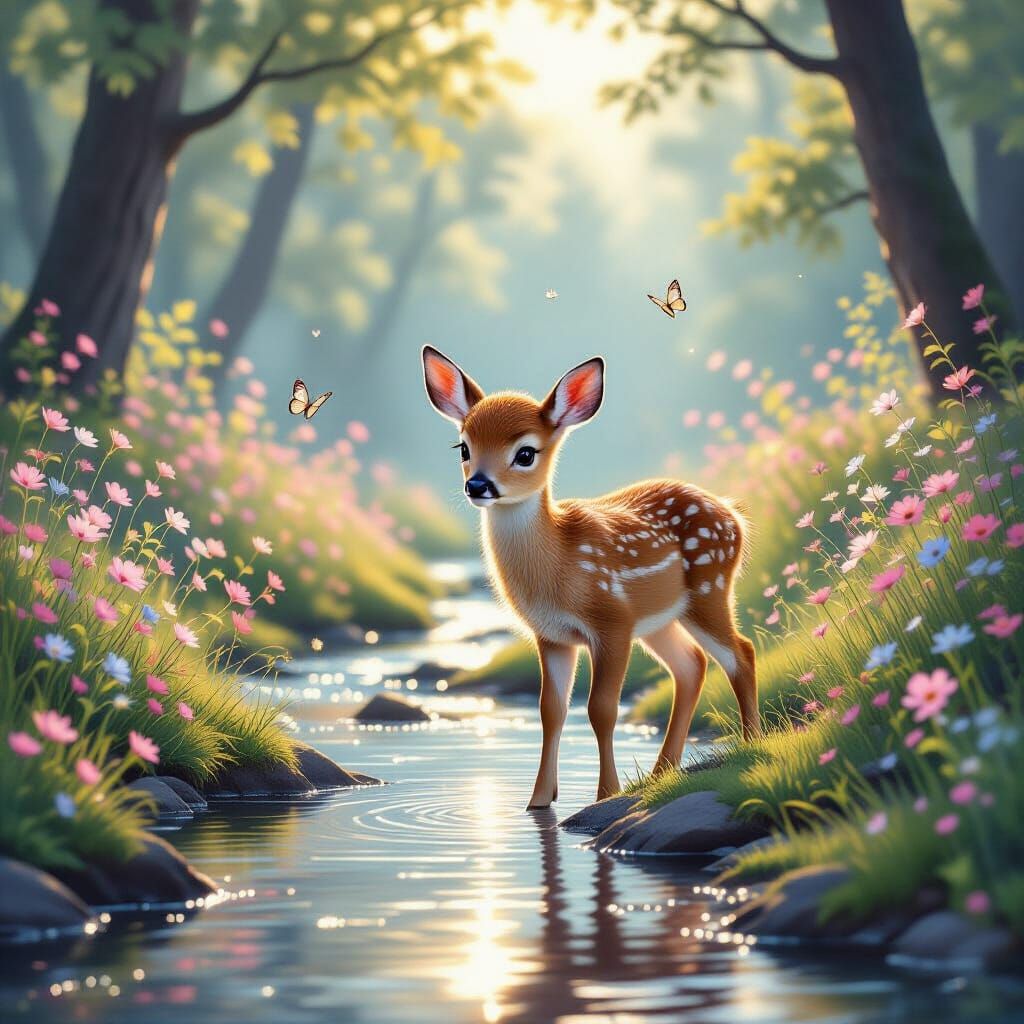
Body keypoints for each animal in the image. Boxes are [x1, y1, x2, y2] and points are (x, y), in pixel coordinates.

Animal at [421, 346, 759, 809]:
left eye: (525, 453)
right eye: (463, 447)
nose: (478, 485)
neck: (558, 568)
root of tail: (734, 515)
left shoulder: (611, 622)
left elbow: (601, 709)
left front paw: (605, 794)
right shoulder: (551, 635)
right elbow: (551, 711)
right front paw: (538, 800)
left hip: (710, 588)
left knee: (741, 652)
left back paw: (751, 744)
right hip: (660, 619)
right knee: (692, 664)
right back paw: (662, 772)